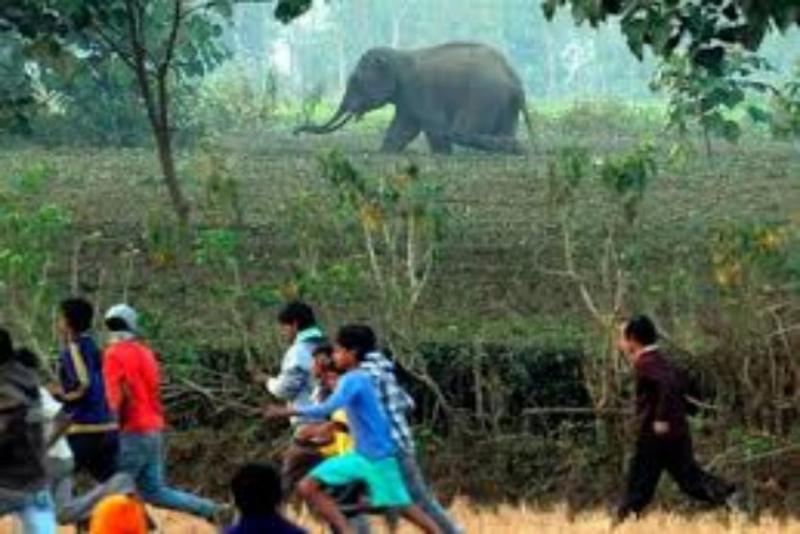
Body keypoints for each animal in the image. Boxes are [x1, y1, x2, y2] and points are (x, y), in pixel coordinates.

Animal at [294, 42, 533, 154]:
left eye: (355, 81)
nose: (295, 131)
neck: (399, 55)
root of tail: (515, 79)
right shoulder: (406, 99)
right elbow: (402, 129)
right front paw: (385, 152)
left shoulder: (420, 90)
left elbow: (433, 126)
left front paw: (442, 154)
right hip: (505, 104)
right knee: (504, 129)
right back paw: (514, 147)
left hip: (483, 98)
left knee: (461, 131)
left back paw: (514, 147)